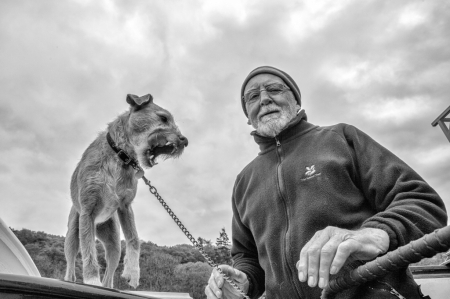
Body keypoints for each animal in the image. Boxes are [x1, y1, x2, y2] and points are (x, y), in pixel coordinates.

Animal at [63, 95, 186, 290]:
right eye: (163, 118)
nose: (185, 141)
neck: (120, 156)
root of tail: (98, 224)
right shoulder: (88, 211)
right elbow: (89, 251)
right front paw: (92, 280)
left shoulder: (125, 206)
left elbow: (134, 238)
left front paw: (133, 273)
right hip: (73, 233)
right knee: (70, 265)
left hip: (114, 242)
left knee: (110, 271)